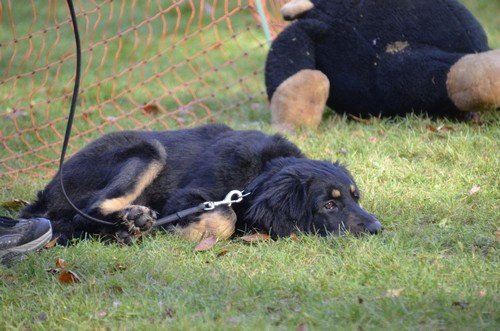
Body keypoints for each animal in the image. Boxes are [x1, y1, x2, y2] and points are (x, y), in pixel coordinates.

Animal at [19, 124, 380, 244]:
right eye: (329, 204)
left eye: (355, 197)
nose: (378, 229)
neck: (258, 175)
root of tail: (48, 192)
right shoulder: (185, 197)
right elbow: (227, 215)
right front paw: (192, 231)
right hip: (147, 149)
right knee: (86, 213)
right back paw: (132, 220)